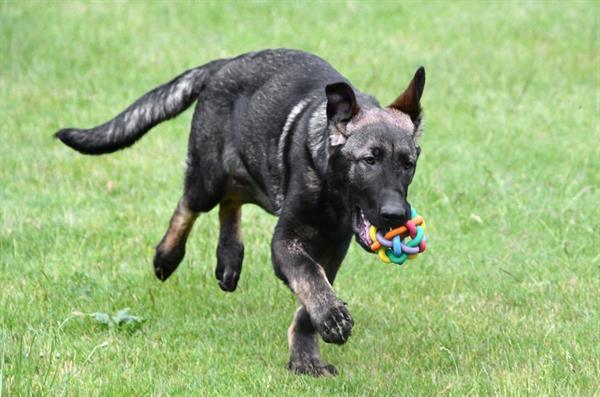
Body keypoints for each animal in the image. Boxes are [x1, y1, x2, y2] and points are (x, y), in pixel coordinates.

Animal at [54, 48, 424, 374]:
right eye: (369, 160)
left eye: (408, 164)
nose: (397, 215)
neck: (329, 186)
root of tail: (226, 63)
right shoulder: (285, 242)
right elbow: (309, 276)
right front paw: (330, 318)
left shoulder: (333, 248)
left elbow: (310, 299)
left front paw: (306, 359)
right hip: (208, 177)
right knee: (190, 204)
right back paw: (167, 256)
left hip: (257, 178)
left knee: (231, 200)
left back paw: (229, 257)